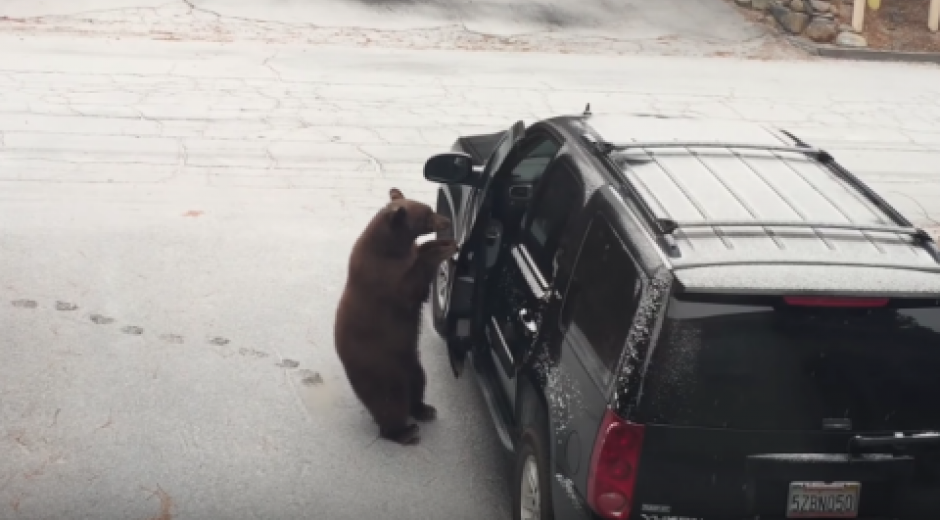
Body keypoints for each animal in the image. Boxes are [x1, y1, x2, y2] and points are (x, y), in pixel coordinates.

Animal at [334, 189, 458, 444]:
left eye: (430, 209)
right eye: (428, 215)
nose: (447, 221)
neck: (390, 248)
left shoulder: (405, 255)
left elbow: (419, 258)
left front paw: (440, 243)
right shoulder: (383, 277)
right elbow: (411, 286)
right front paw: (443, 248)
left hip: (412, 363)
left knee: (418, 383)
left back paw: (424, 409)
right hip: (383, 372)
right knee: (391, 404)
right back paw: (404, 432)